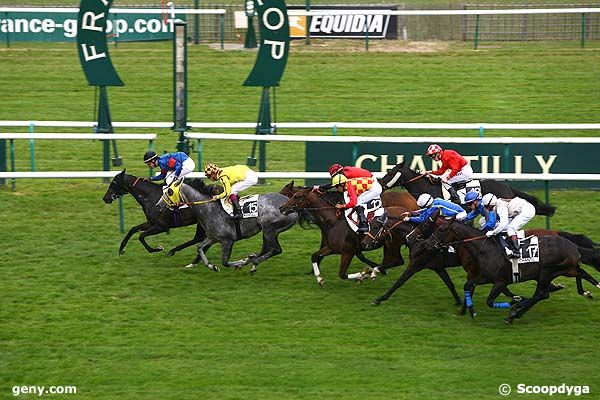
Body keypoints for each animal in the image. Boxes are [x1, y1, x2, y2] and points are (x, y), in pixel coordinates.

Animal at [422, 217, 600, 324]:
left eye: (441, 230)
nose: (427, 244)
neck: (484, 249)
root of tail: (573, 246)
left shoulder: (500, 281)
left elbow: (490, 301)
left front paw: (515, 301)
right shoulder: (485, 277)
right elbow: (467, 286)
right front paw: (470, 311)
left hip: (546, 271)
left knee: (541, 294)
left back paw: (515, 311)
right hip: (564, 269)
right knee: (580, 273)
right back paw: (589, 291)